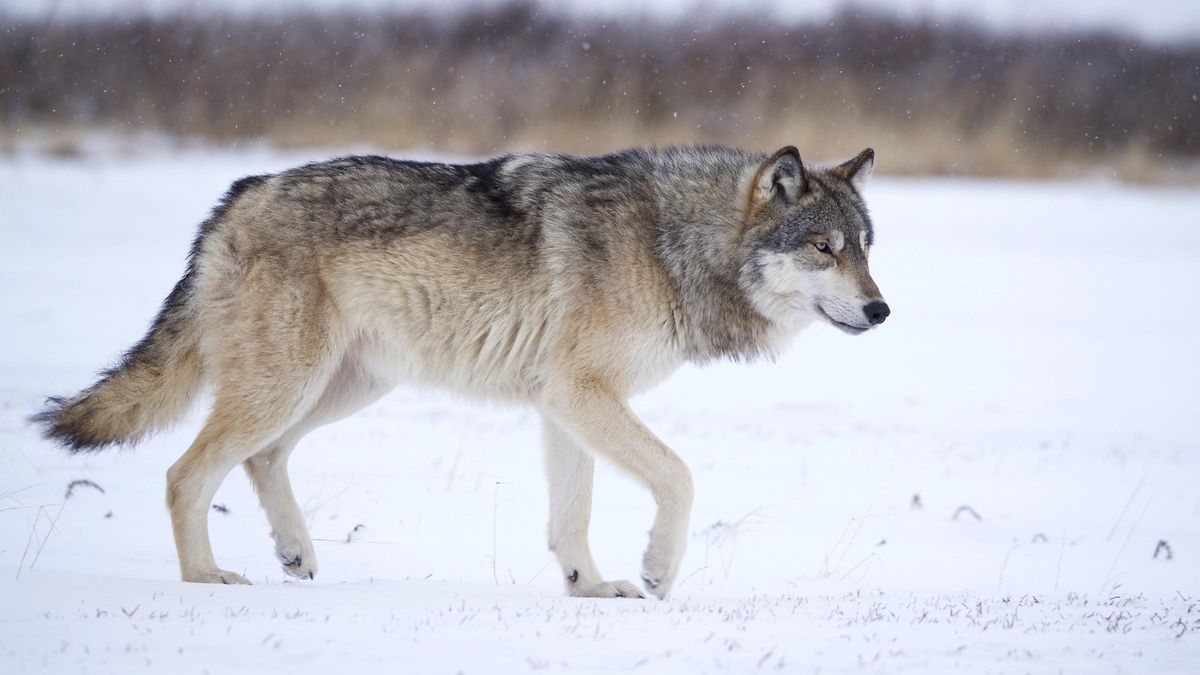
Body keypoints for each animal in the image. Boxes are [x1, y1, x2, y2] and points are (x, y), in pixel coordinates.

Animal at [32, 144, 888, 595]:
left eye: (865, 247)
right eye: (824, 248)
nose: (882, 310)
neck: (673, 242)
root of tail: (238, 192)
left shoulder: (563, 404)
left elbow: (571, 517)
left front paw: (590, 587)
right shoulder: (582, 393)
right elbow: (678, 475)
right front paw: (654, 568)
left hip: (341, 387)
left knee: (261, 457)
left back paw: (295, 555)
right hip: (288, 385)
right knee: (185, 472)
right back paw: (205, 577)